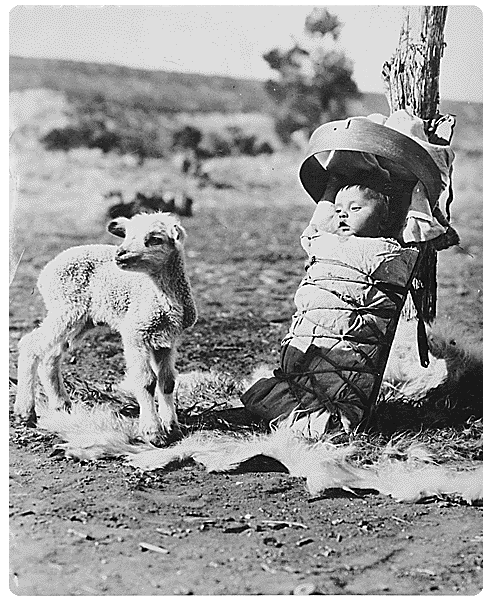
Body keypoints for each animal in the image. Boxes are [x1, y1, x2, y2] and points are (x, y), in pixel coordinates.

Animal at [14, 212, 197, 446]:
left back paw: (62, 405)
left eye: (155, 239)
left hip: (81, 319)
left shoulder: (165, 340)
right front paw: (153, 433)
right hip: (65, 308)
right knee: (30, 344)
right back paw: (25, 412)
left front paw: (173, 428)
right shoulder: (134, 333)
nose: (120, 254)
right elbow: (146, 382)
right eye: (126, 235)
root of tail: (46, 272)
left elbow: (167, 382)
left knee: (51, 355)